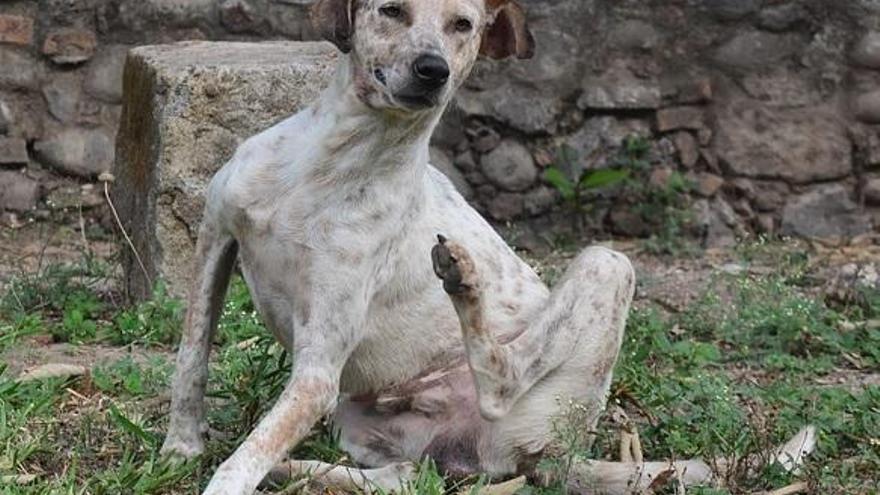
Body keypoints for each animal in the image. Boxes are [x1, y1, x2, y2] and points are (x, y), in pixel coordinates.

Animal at [160, 0, 820, 494]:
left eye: (463, 24)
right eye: (391, 10)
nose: (432, 70)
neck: (332, 163)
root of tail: (558, 453)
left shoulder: (319, 372)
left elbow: (244, 458)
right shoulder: (215, 239)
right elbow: (191, 360)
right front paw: (179, 448)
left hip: (606, 264)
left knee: (501, 382)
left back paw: (464, 281)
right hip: (364, 424)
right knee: (402, 477)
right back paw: (300, 471)